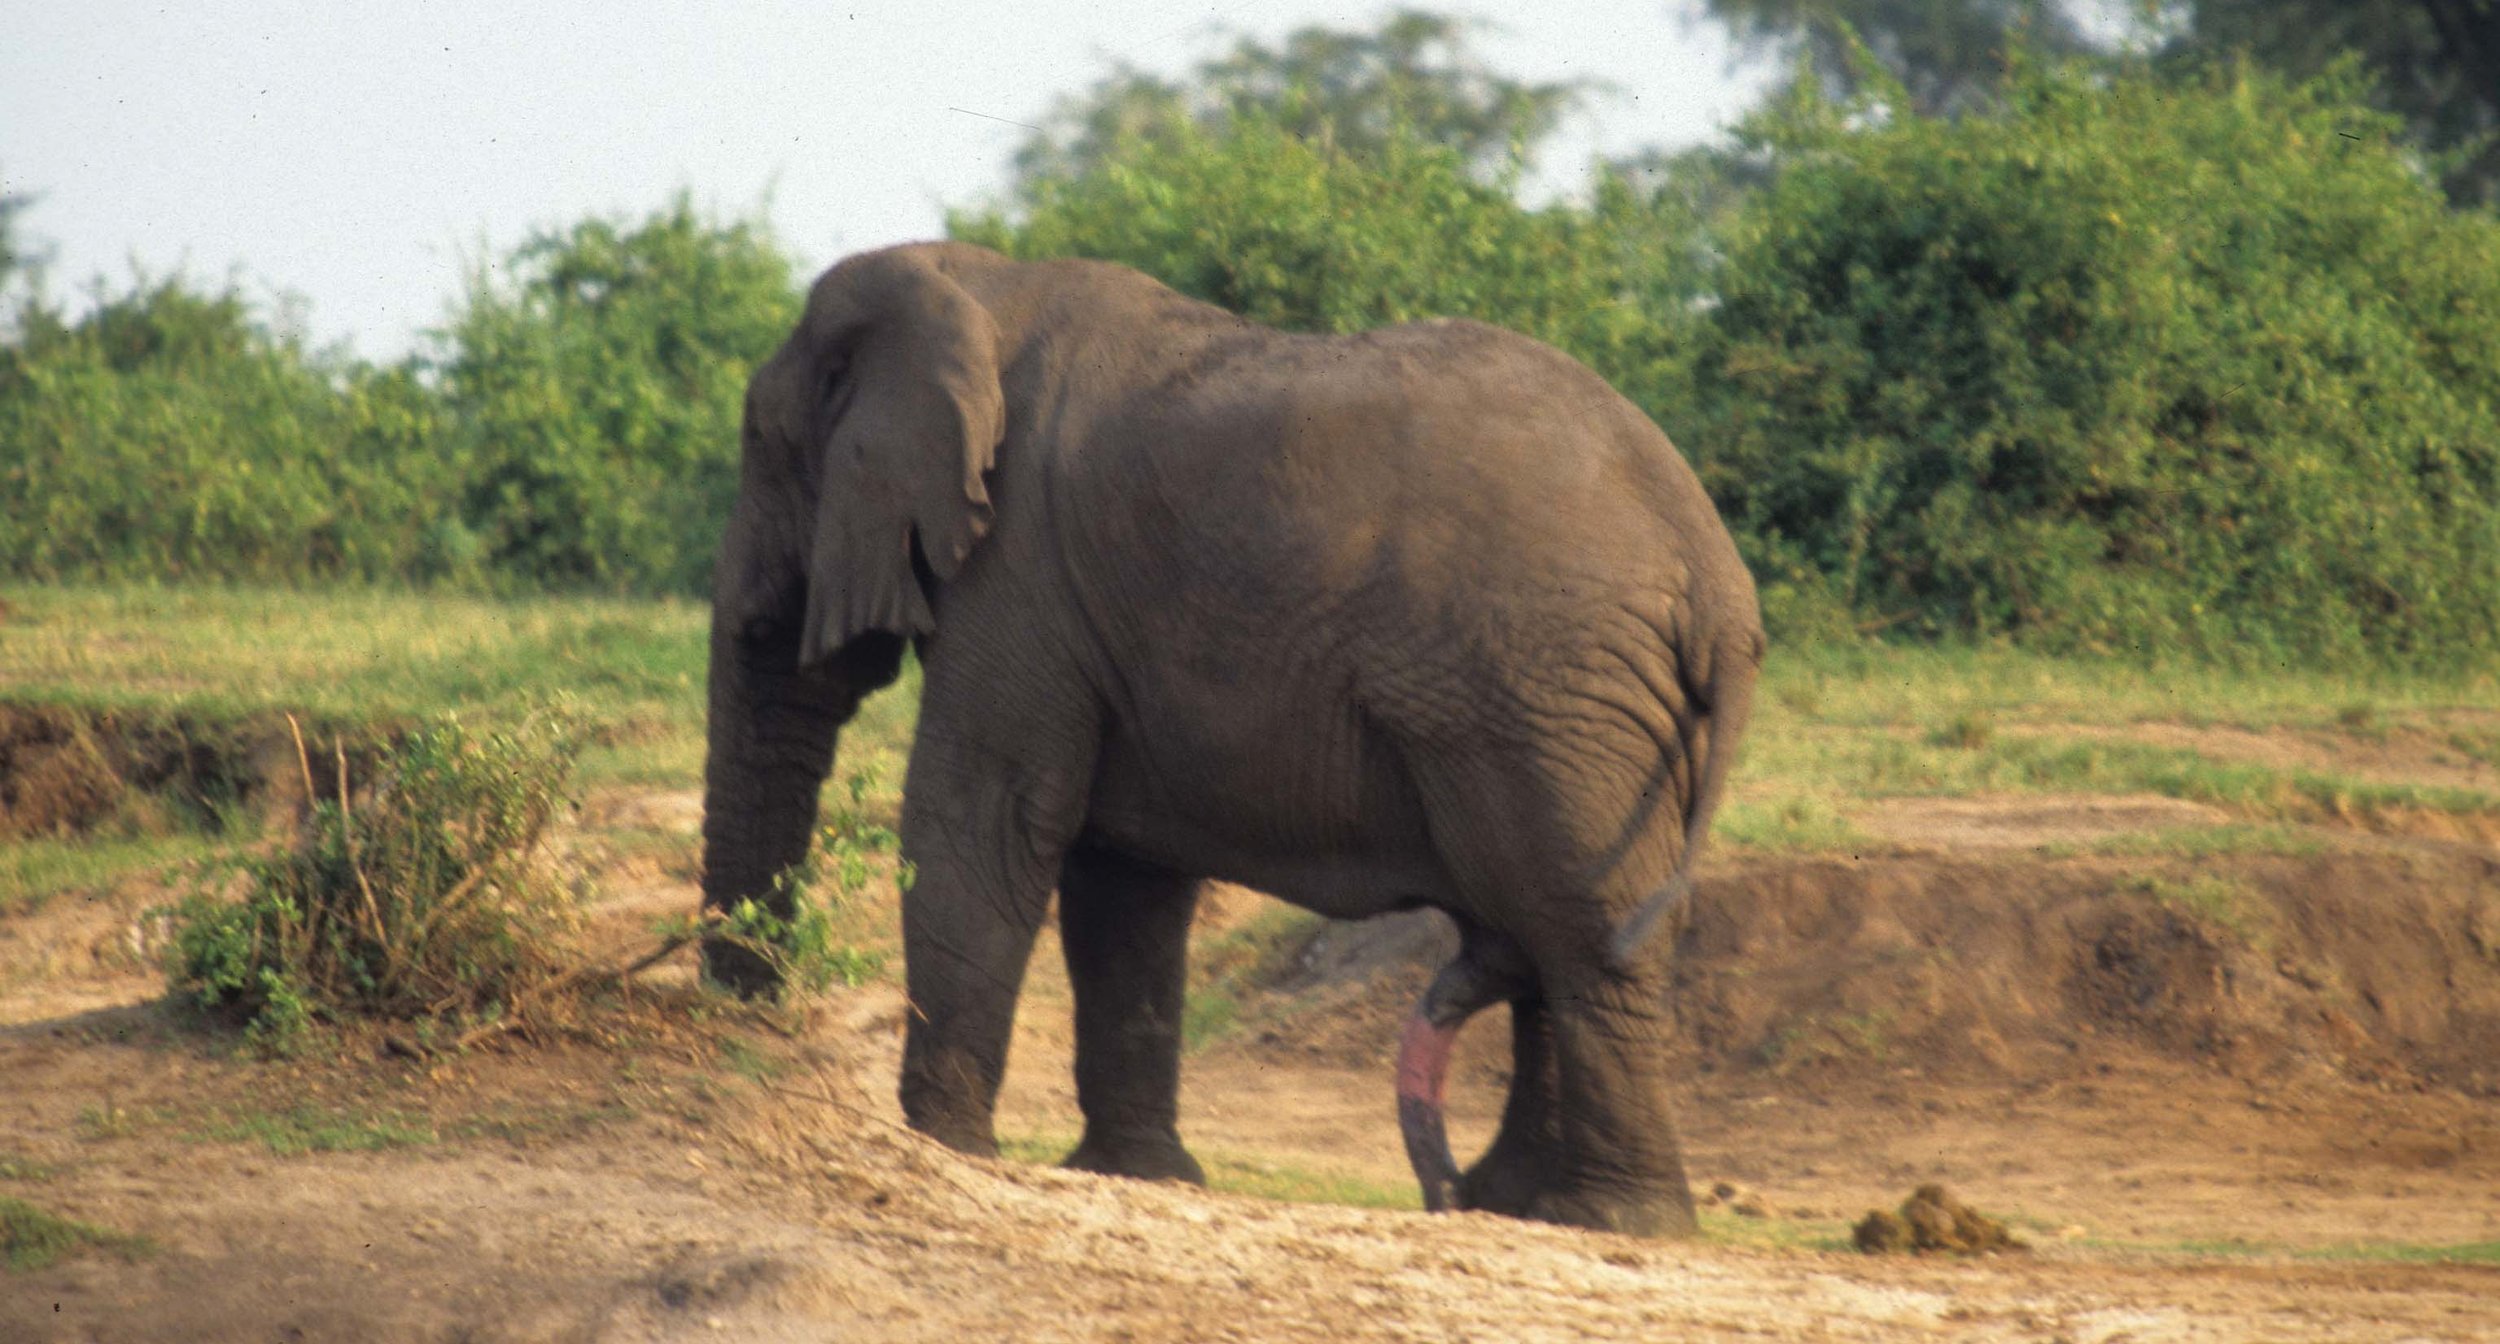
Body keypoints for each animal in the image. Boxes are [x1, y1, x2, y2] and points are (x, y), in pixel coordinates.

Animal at [699, 241, 1764, 1237]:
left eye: (759, 444)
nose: (749, 1036)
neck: (978, 281)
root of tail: (1714, 577)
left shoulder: (1019, 569)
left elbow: (984, 816)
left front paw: (944, 1150)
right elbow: (1121, 877)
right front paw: (1139, 1173)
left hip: (1547, 692)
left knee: (1580, 931)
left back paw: (1610, 1219)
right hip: (1588, 713)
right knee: (1550, 929)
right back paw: (1512, 1203)